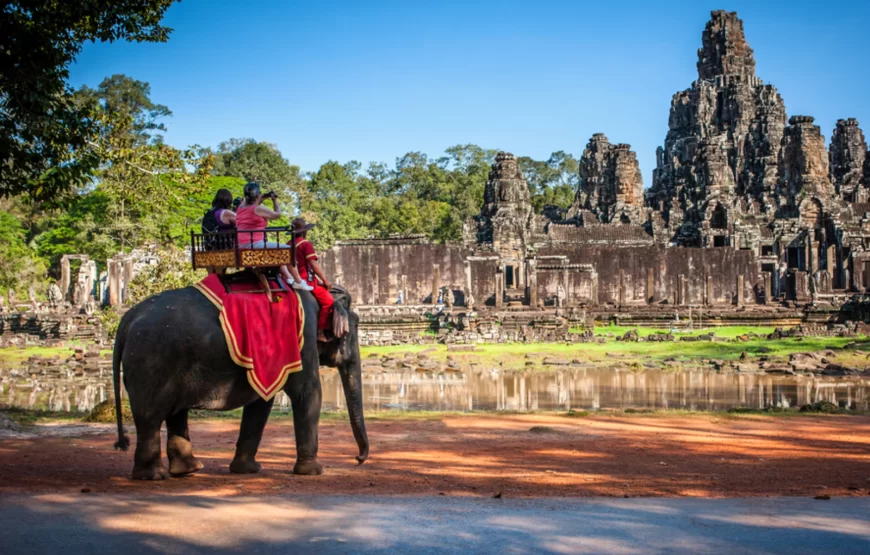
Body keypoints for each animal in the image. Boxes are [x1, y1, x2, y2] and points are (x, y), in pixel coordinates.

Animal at [112, 284, 368, 480]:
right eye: (354, 327)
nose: (358, 459)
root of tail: (126, 320)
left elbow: (261, 403)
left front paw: (248, 470)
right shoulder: (302, 336)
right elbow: (308, 392)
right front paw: (313, 471)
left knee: (175, 414)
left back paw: (188, 471)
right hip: (151, 362)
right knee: (150, 417)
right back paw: (154, 476)